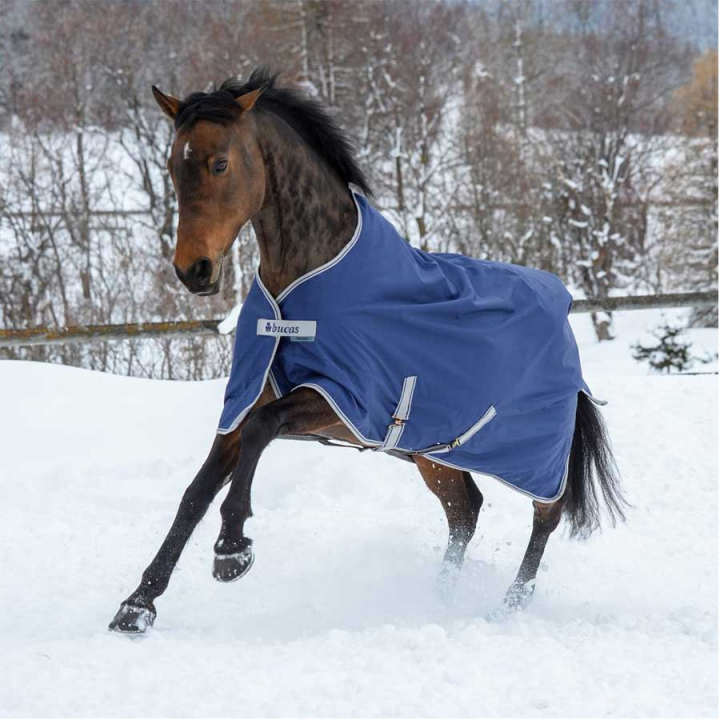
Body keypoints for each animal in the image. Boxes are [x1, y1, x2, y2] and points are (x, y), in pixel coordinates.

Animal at [109, 68, 626, 634]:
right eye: (172, 166)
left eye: (219, 162)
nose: (193, 271)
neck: (299, 290)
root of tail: (562, 305)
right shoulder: (247, 401)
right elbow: (196, 492)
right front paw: (137, 606)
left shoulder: (340, 401)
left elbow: (261, 433)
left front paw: (231, 550)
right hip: (434, 454)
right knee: (465, 511)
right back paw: (438, 598)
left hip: (535, 453)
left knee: (545, 516)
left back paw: (507, 606)